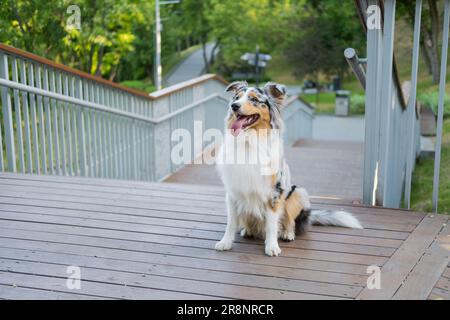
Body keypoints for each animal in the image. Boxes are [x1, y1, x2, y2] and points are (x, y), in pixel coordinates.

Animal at [214, 81, 362, 256]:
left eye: (254, 99)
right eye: (237, 97)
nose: (234, 106)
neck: (249, 141)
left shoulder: (274, 193)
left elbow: (272, 224)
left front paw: (272, 246)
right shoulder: (233, 192)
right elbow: (231, 222)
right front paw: (225, 242)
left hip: (297, 193)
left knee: (290, 222)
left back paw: (287, 234)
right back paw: (248, 231)